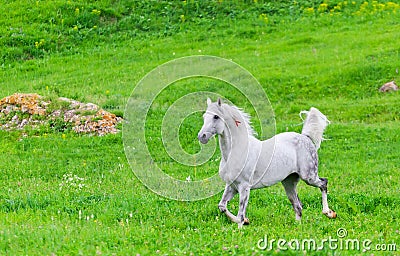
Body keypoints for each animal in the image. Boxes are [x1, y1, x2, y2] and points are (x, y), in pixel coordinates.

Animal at [198, 98, 336, 228]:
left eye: (216, 116)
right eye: (204, 116)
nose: (201, 136)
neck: (235, 152)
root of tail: (306, 137)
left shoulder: (244, 187)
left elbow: (240, 214)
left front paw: (242, 225)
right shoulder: (232, 186)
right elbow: (222, 206)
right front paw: (245, 221)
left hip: (309, 177)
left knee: (324, 183)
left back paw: (329, 213)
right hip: (289, 182)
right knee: (298, 206)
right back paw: (298, 227)